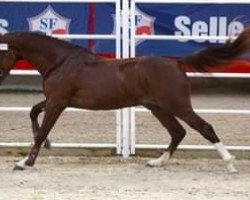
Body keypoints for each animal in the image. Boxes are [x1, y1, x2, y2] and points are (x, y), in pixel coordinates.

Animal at [0, 28, 250, 172]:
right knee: (178, 132)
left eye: (1, 51)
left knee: (204, 127)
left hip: (177, 105)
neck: (61, 61)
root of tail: (176, 63)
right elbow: (33, 112)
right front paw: (46, 146)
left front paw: (24, 163)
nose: (0, 77)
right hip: (158, 107)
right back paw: (157, 162)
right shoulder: (55, 100)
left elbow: (42, 130)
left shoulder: (57, 102)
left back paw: (230, 163)